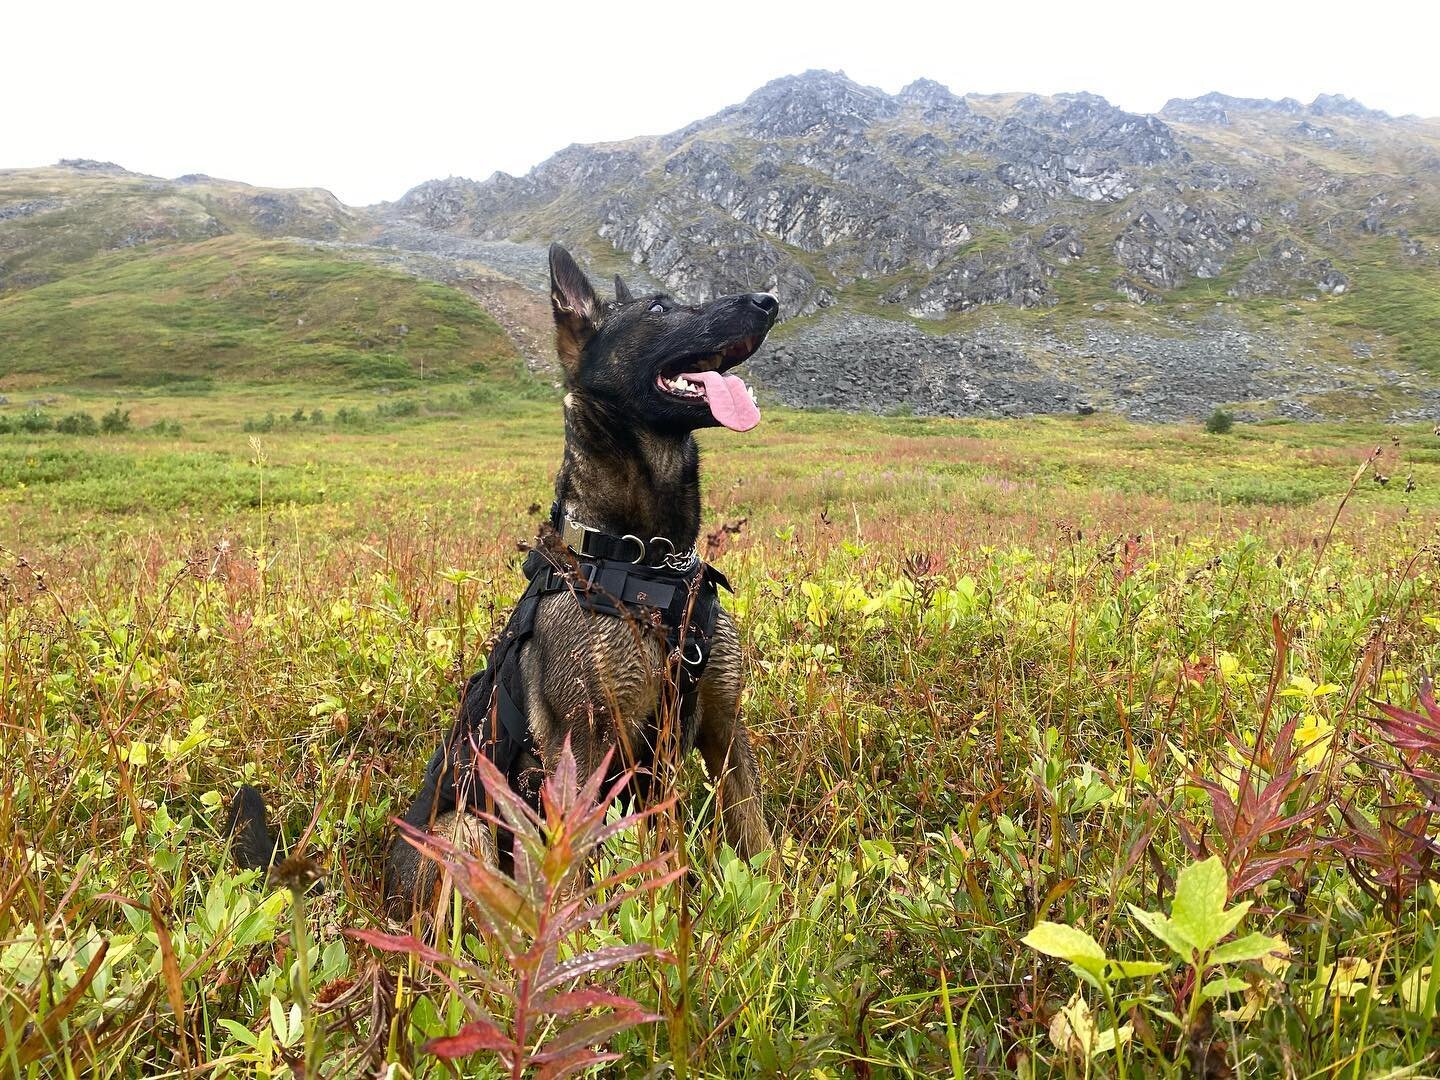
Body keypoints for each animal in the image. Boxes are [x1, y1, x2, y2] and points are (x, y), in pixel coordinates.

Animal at [230, 247, 777, 921]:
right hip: (464, 828)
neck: (646, 563)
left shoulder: (725, 727)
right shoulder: (583, 751)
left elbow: (756, 840)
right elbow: (578, 882)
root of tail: (379, 894)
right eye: (658, 309)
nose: (768, 302)